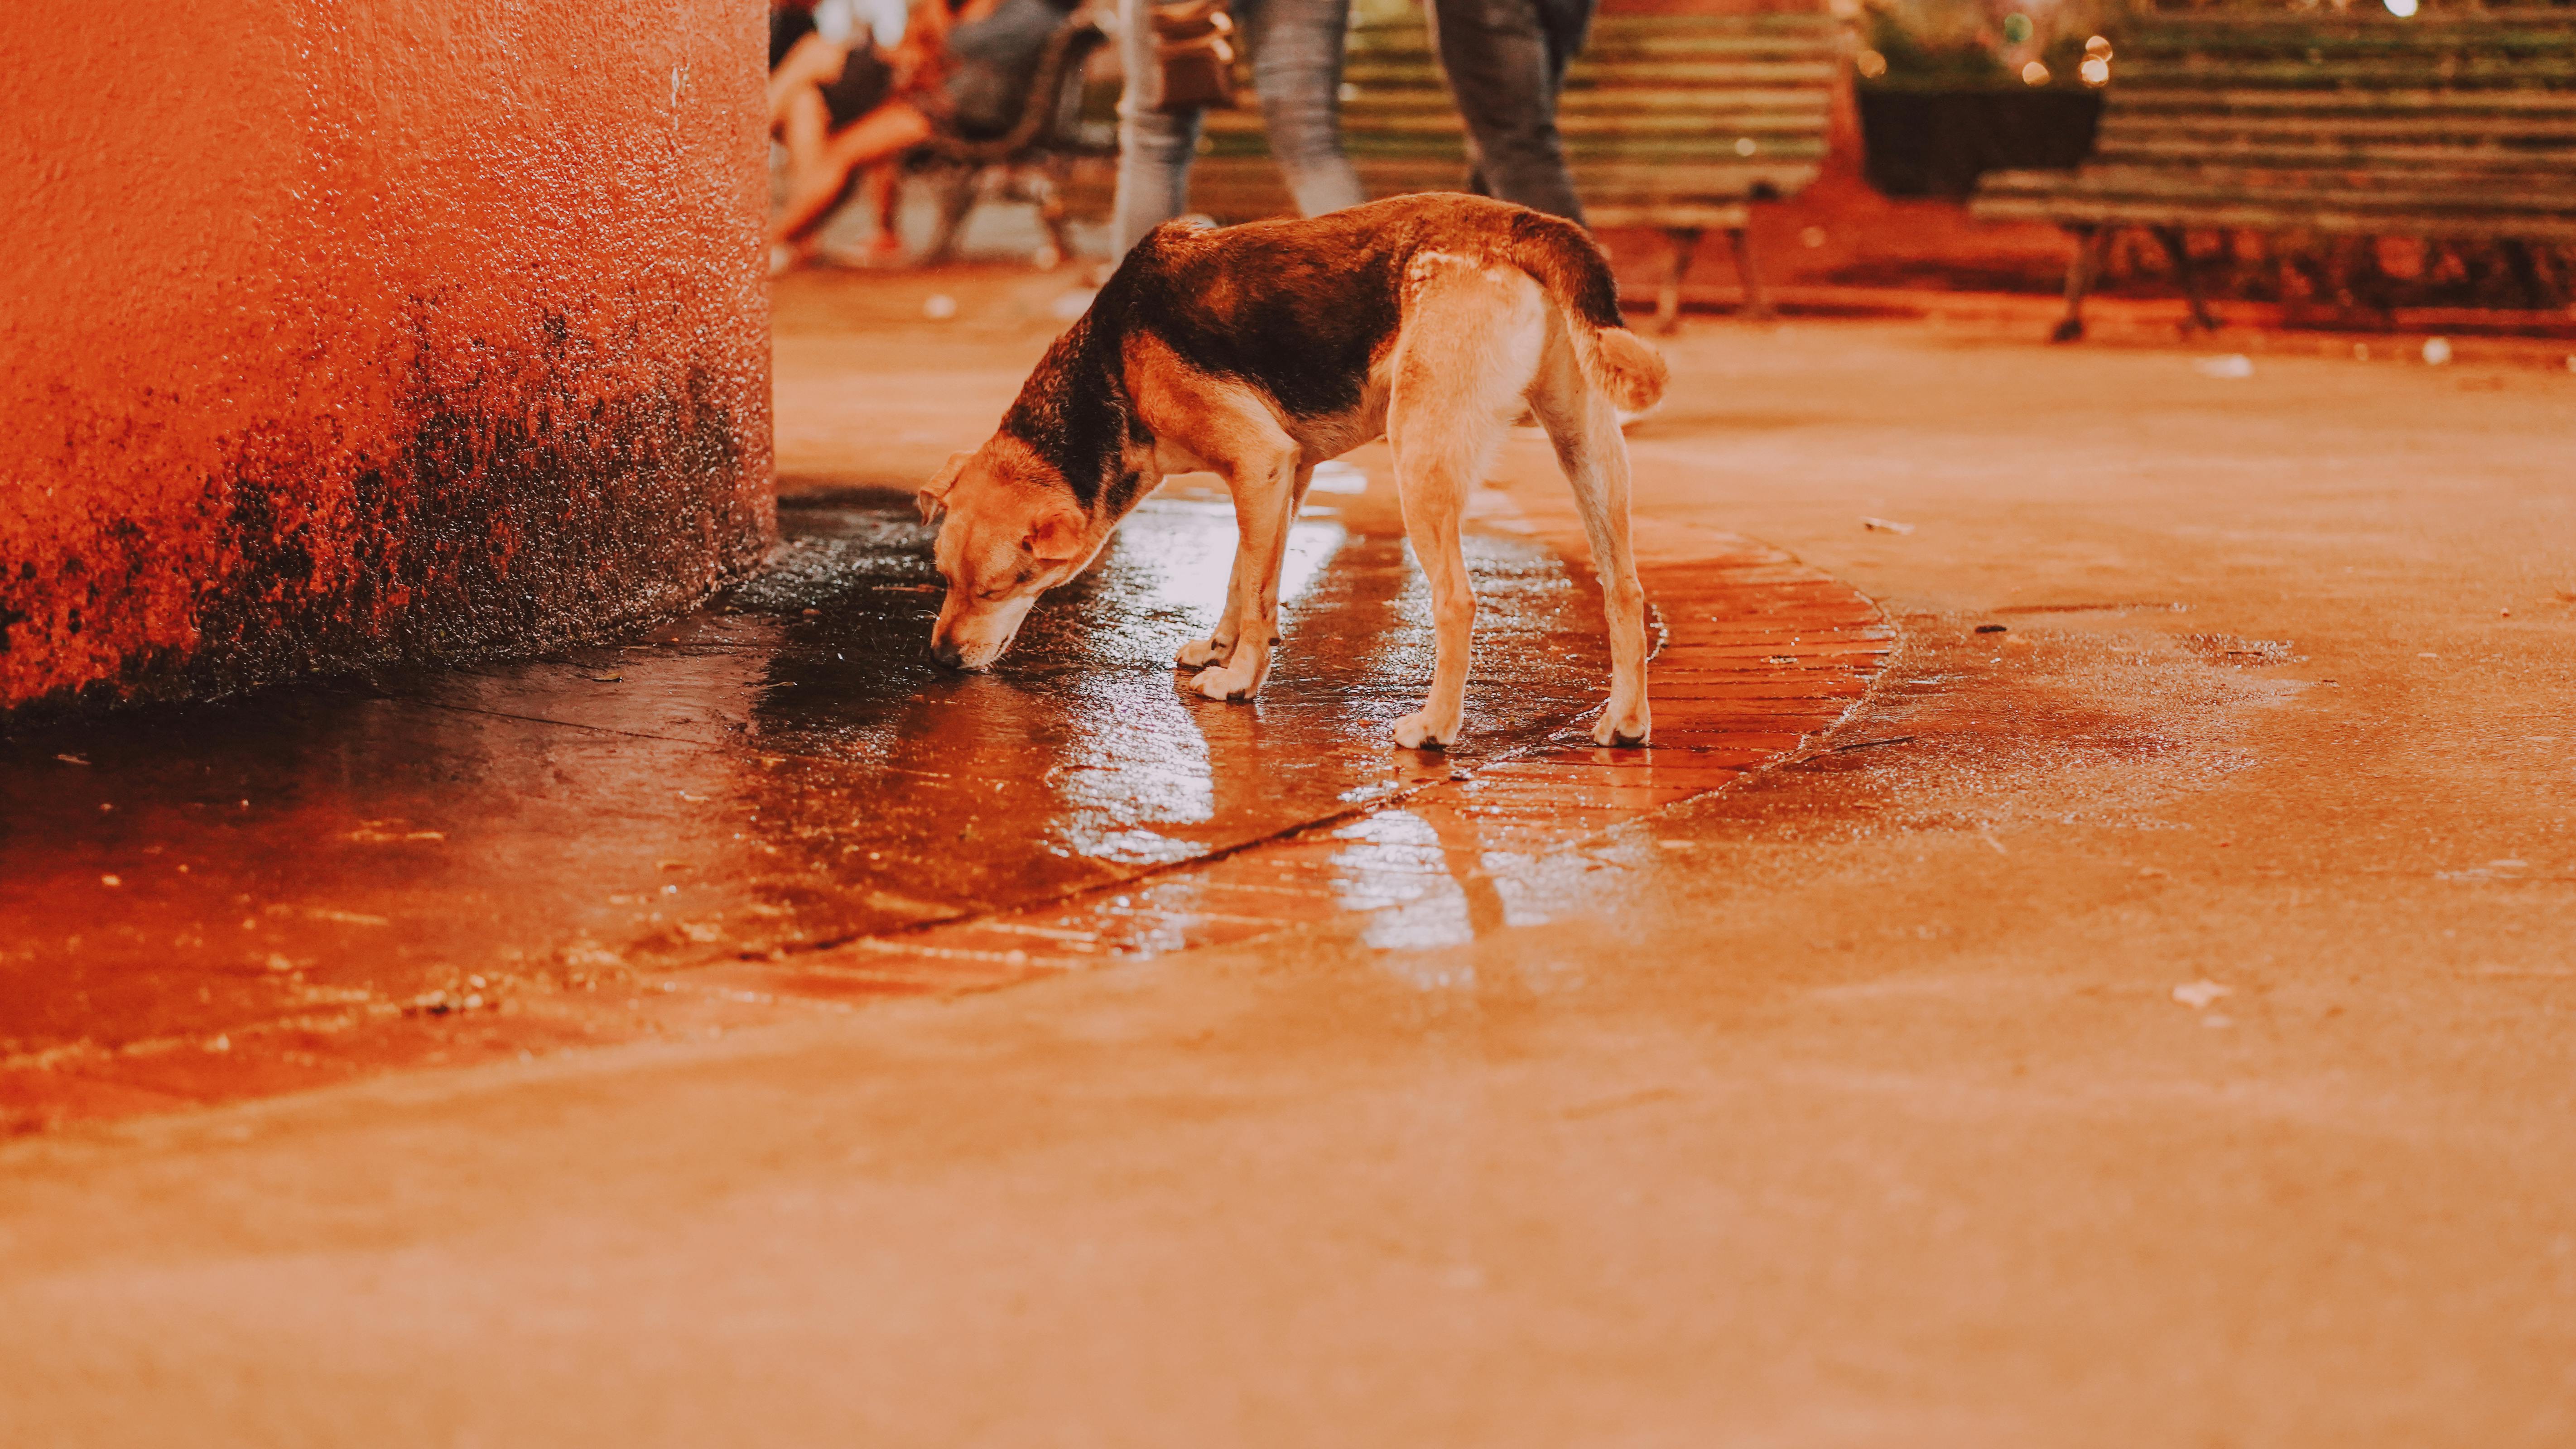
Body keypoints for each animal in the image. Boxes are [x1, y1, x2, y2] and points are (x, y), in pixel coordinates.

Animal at [917, 192, 1659, 746]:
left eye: (999, 587)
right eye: (943, 579)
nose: (941, 660)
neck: (1112, 362)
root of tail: (1520, 224)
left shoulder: (1260, 462)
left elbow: (1257, 595)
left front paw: (1238, 679)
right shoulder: (1283, 476)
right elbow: (1245, 576)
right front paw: (1220, 648)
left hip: (1420, 456)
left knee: (1456, 600)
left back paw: (1434, 729)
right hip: (1587, 445)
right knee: (1623, 588)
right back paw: (1625, 721)